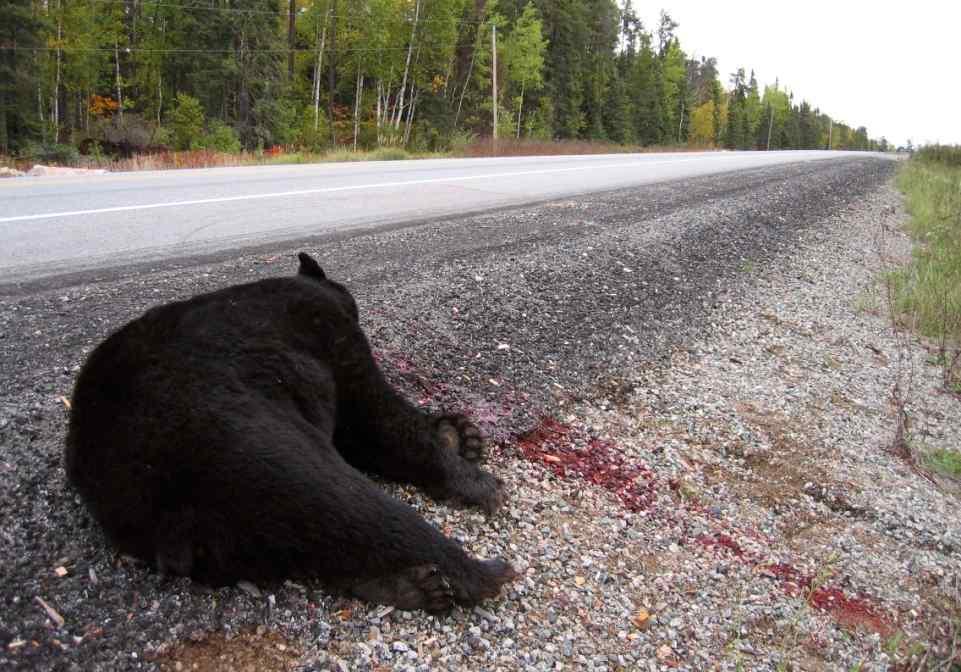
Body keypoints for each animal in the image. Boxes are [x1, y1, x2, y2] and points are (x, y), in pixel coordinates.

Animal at [65, 253, 516, 616]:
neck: (315, 289)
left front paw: (460, 433)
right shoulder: (330, 335)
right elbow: (375, 418)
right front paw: (474, 477)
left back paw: (412, 585)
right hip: (242, 448)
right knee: (345, 502)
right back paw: (478, 571)